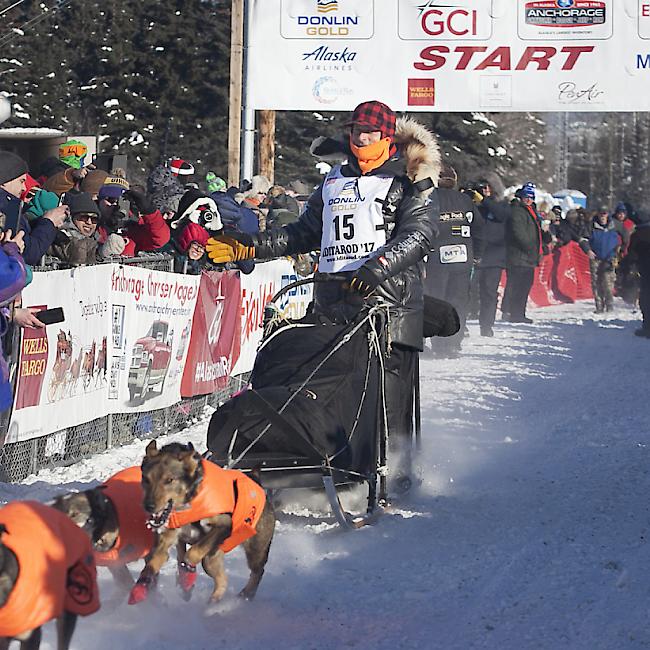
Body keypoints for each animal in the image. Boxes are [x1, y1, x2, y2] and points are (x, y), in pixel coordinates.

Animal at [129, 438, 274, 604]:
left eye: (169, 480)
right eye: (146, 479)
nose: (149, 506)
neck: (188, 503)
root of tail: (255, 478)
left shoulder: (224, 525)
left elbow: (191, 554)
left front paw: (188, 574)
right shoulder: (168, 538)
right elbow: (154, 562)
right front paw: (141, 587)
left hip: (255, 549)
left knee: (257, 571)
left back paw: (246, 594)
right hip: (214, 556)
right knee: (222, 579)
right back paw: (213, 602)